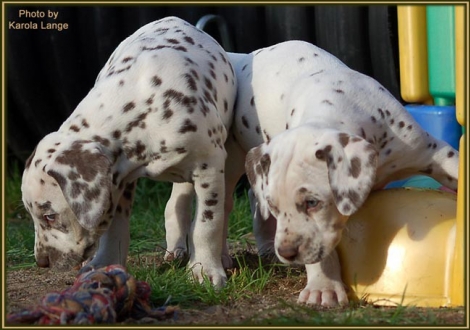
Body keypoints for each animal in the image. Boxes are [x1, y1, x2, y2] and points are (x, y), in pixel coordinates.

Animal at [20, 16, 237, 288]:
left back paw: (221, 256)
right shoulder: (120, 180)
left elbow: (207, 223)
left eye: (49, 216)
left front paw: (204, 270)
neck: (143, 108)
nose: (42, 262)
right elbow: (116, 227)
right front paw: (105, 263)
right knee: (176, 202)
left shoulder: (209, 165)